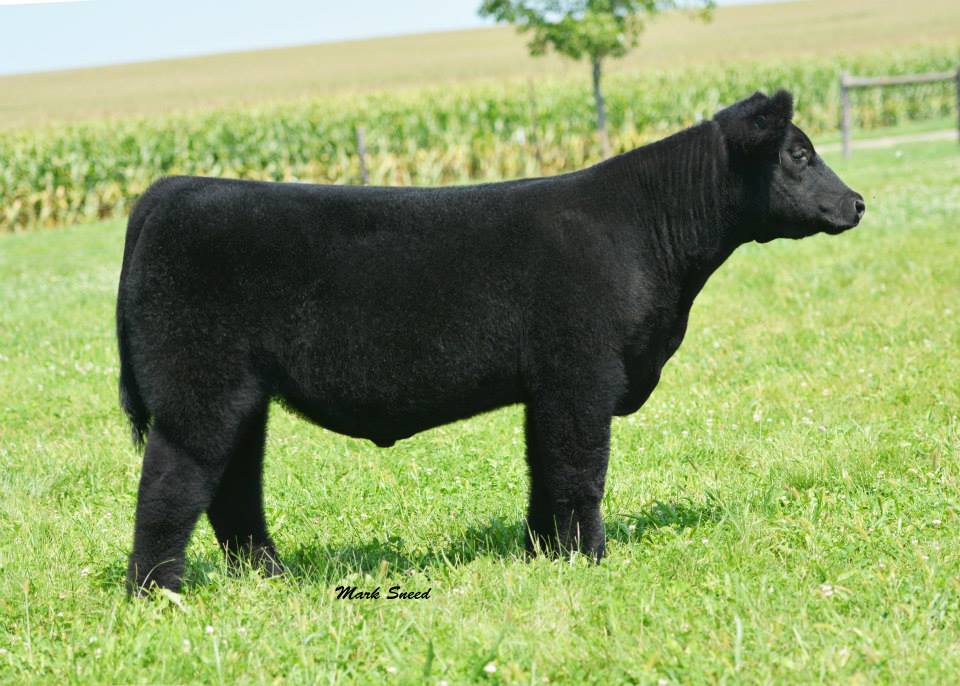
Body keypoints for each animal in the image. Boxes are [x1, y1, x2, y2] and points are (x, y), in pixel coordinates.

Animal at [117, 90, 865, 594]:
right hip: (198, 392)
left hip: (243, 397)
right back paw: (158, 593)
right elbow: (580, 473)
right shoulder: (581, 376)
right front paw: (591, 560)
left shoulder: (547, 388)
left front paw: (543, 556)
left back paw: (269, 576)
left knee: (233, 488)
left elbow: (545, 474)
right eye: (799, 154)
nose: (857, 202)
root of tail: (174, 188)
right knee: (170, 486)